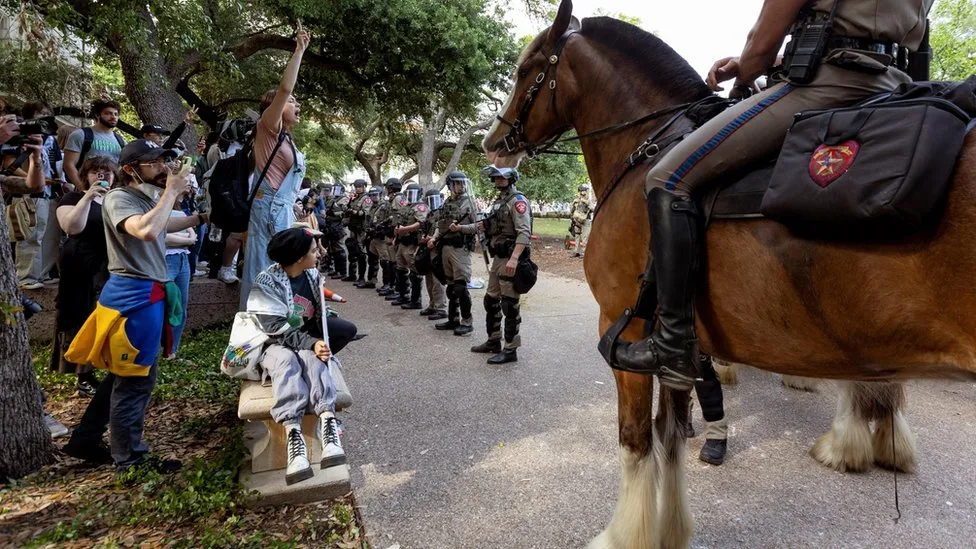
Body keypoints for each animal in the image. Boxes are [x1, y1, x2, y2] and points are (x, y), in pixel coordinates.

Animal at [480, 2, 976, 544]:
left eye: (527, 70)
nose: (492, 144)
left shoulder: (625, 330)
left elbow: (636, 441)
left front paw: (628, 534)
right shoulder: (676, 348)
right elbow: (669, 436)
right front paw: (668, 529)